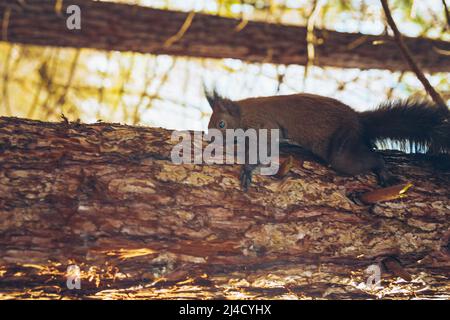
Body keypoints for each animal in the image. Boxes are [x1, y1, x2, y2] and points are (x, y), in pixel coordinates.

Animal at [206, 90, 448, 190]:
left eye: (221, 124)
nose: (210, 141)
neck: (243, 113)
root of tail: (358, 120)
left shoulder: (264, 124)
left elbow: (264, 146)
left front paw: (247, 170)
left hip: (343, 148)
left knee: (367, 159)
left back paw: (383, 170)